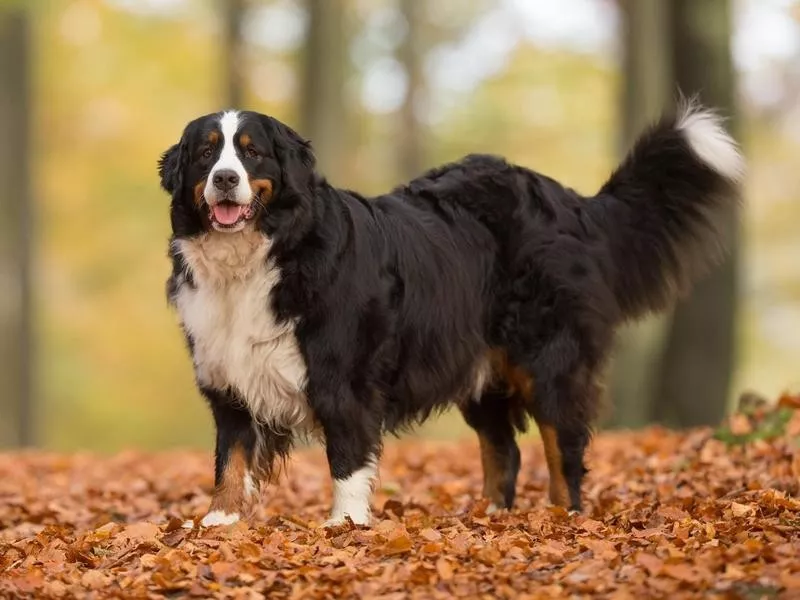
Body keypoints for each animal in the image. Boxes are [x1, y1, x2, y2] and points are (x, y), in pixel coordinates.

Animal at [158, 101, 744, 528]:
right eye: (207, 154)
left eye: (252, 154)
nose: (225, 179)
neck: (260, 257)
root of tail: (568, 200)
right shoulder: (228, 375)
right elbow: (231, 457)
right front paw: (220, 521)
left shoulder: (343, 380)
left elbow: (346, 460)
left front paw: (343, 525)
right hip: (480, 369)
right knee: (503, 449)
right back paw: (488, 515)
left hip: (548, 359)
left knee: (563, 446)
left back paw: (563, 517)